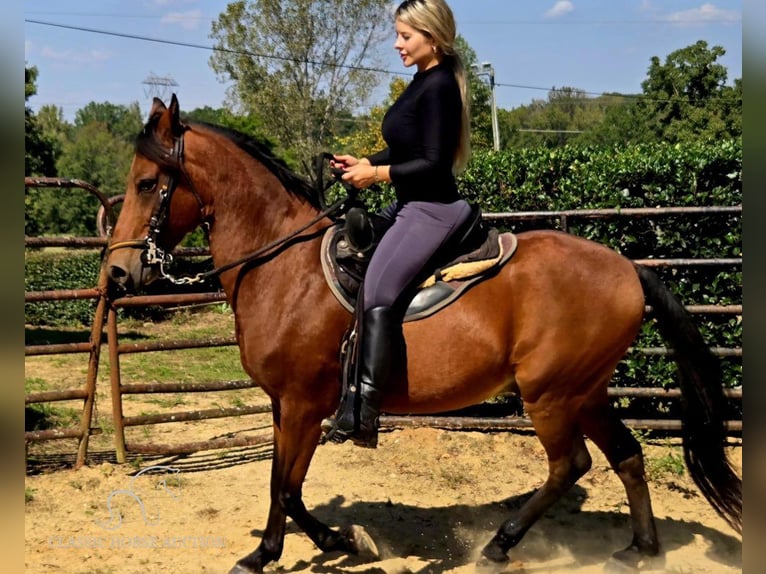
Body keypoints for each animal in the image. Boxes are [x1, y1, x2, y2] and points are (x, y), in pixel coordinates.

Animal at [105, 94, 740, 574]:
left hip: (551, 394)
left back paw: (500, 544)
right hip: (585, 390)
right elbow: (281, 482)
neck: (283, 265)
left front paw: (301, 548)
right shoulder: (284, 406)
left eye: (146, 184)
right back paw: (641, 549)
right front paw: (303, 545)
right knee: (628, 455)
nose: (116, 273)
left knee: (571, 465)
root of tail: (628, 267)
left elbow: (286, 486)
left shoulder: (306, 404)